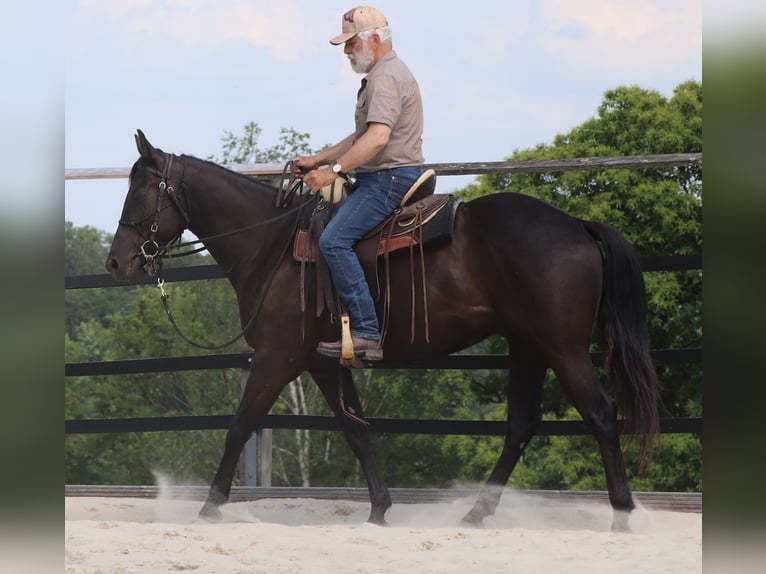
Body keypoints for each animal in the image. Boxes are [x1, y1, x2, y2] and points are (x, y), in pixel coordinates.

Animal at [106, 130, 660, 532]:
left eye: (141, 192)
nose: (116, 262)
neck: (273, 245)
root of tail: (575, 225)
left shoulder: (277, 357)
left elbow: (240, 425)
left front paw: (209, 508)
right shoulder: (322, 361)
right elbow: (356, 429)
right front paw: (379, 509)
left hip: (562, 347)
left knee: (601, 415)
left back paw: (621, 516)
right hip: (529, 346)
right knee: (521, 426)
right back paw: (476, 514)